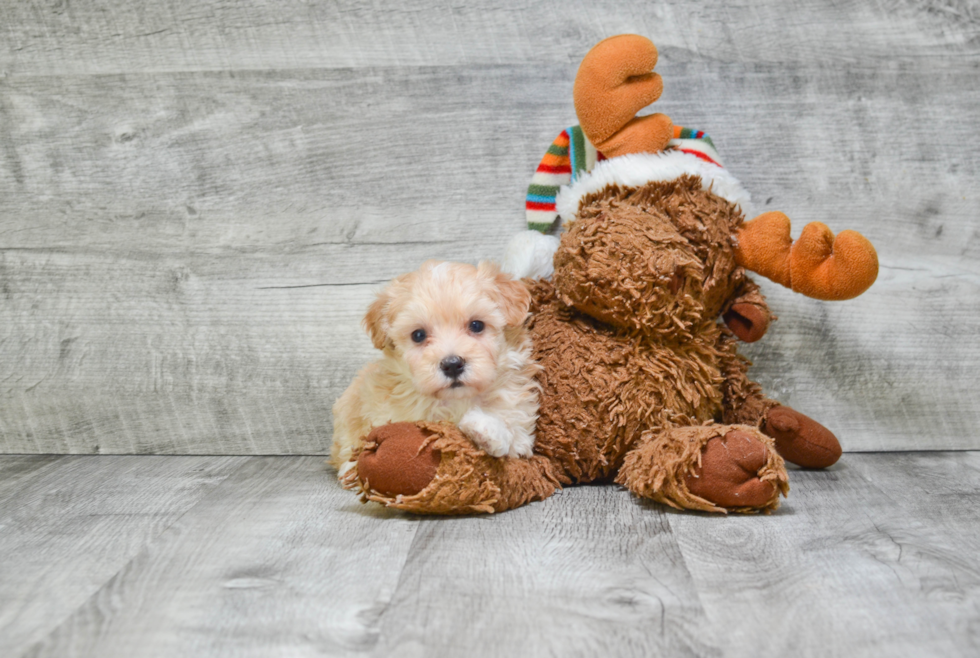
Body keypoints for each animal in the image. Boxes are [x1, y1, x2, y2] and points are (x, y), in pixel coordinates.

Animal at [334, 258, 540, 468]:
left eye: (476, 325)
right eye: (418, 335)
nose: (452, 365)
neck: (456, 400)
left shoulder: (519, 421)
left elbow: (512, 437)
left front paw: (483, 428)